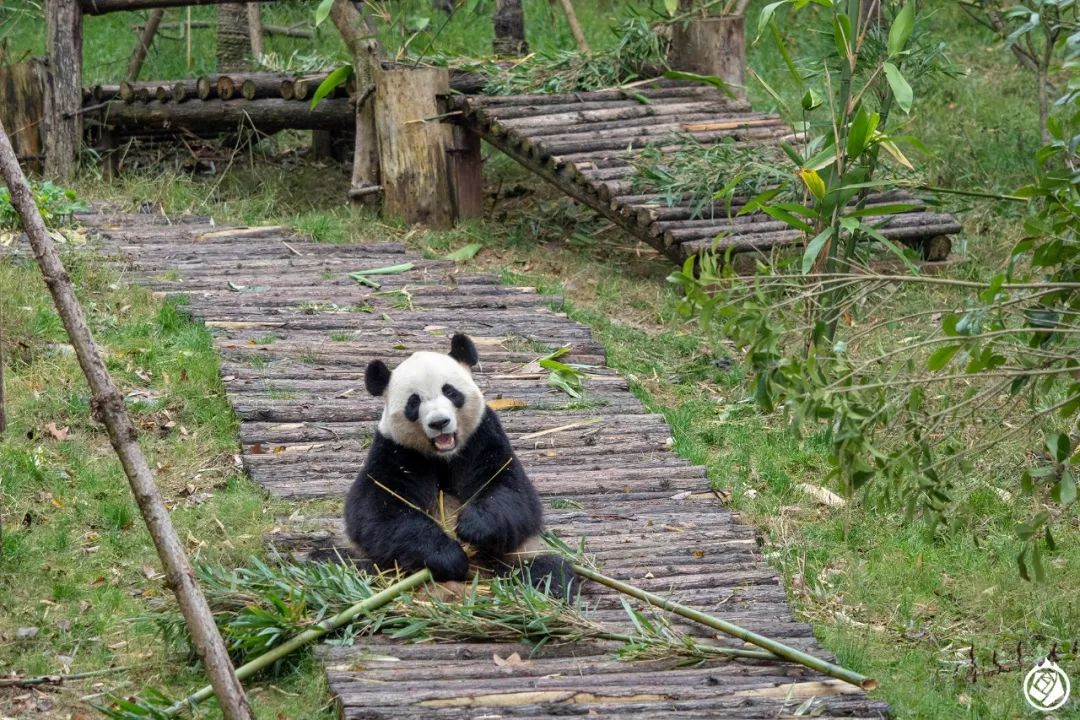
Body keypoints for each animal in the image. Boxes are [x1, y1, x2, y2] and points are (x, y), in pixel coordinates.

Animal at [347, 334, 583, 600]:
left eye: (450, 392)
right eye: (414, 402)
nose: (439, 422)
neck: (444, 456)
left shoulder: (482, 437)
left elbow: (512, 493)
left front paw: (474, 527)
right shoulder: (395, 451)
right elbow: (379, 512)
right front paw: (448, 555)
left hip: (516, 557)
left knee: (548, 569)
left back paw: (546, 586)